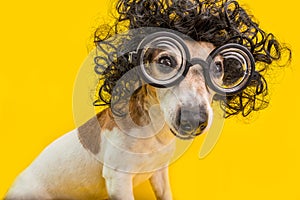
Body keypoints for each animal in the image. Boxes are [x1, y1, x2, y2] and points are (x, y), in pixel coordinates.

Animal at [5, 0, 290, 200]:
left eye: (218, 67)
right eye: (166, 61)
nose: (194, 119)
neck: (153, 132)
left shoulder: (160, 173)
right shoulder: (119, 181)